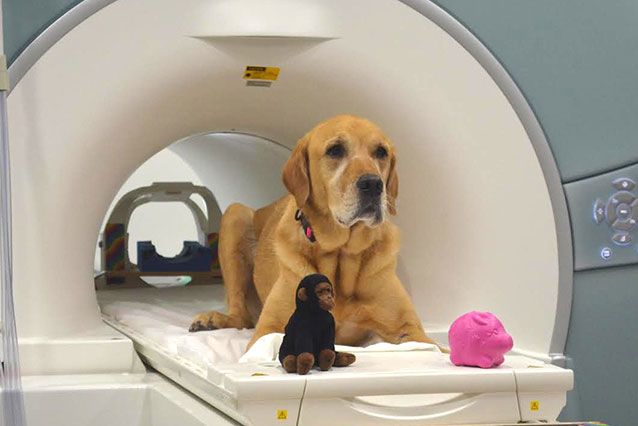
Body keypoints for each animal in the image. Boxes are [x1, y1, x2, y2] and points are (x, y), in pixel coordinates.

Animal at [190, 114, 438, 350]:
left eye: (381, 152)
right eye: (335, 150)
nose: (374, 184)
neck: (341, 253)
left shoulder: (409, 330)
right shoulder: (269, 329)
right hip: (235, 215)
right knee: (241, 317)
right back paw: (212, 319)